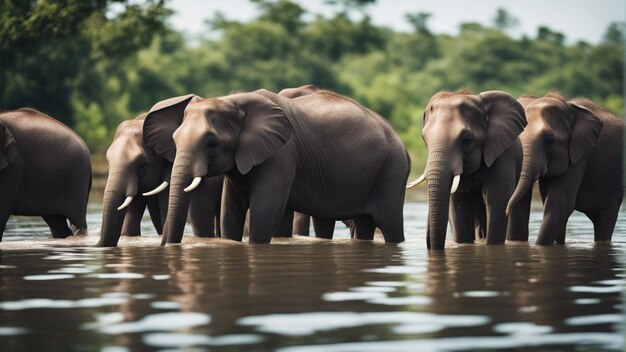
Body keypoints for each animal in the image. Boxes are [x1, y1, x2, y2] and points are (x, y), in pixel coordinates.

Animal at [144, 88, 412, 245]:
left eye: (211, 142)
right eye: (175, 139)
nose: (166, 244)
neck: (233, 101)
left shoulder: (282, 154)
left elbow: (265, 208)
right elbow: (231, 210)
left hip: (392, 171)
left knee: (390, 224)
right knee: (365, 224)